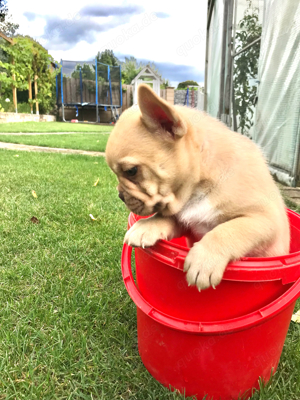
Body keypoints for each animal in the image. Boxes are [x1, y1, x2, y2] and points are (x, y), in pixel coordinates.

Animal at [106, 83, 290, 290]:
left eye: (131, 171)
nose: (121, 196)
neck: (196, 189)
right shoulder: (186, 222)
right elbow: (167, 218)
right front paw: (147, 226)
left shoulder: (264, 219)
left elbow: (229, 230)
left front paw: (204, 260)